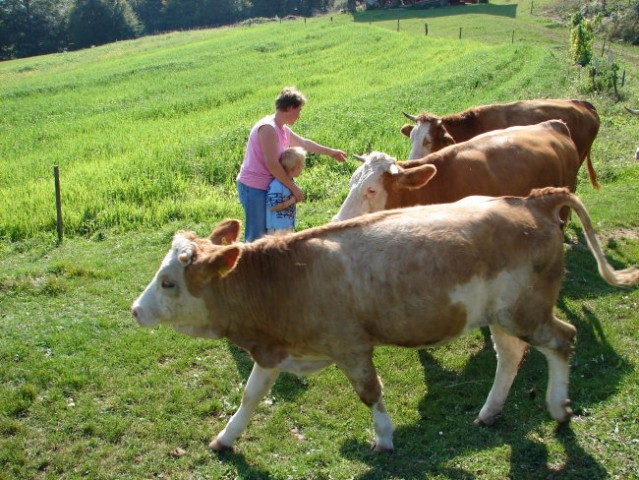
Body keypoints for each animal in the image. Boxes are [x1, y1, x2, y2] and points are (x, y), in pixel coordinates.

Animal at [132, 188, 636, 454]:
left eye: (169, 282)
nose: (136, 310)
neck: (283, 280)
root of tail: (533, 200)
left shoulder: (351, 346)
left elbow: (369, 392)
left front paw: (384, 438)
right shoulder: (275, 349)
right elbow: (252, 396)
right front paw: (225, 438)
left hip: (525, 310)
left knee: (563, 339)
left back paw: (558, 408)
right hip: (500, 314)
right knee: (511, 354)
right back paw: (490, 411)